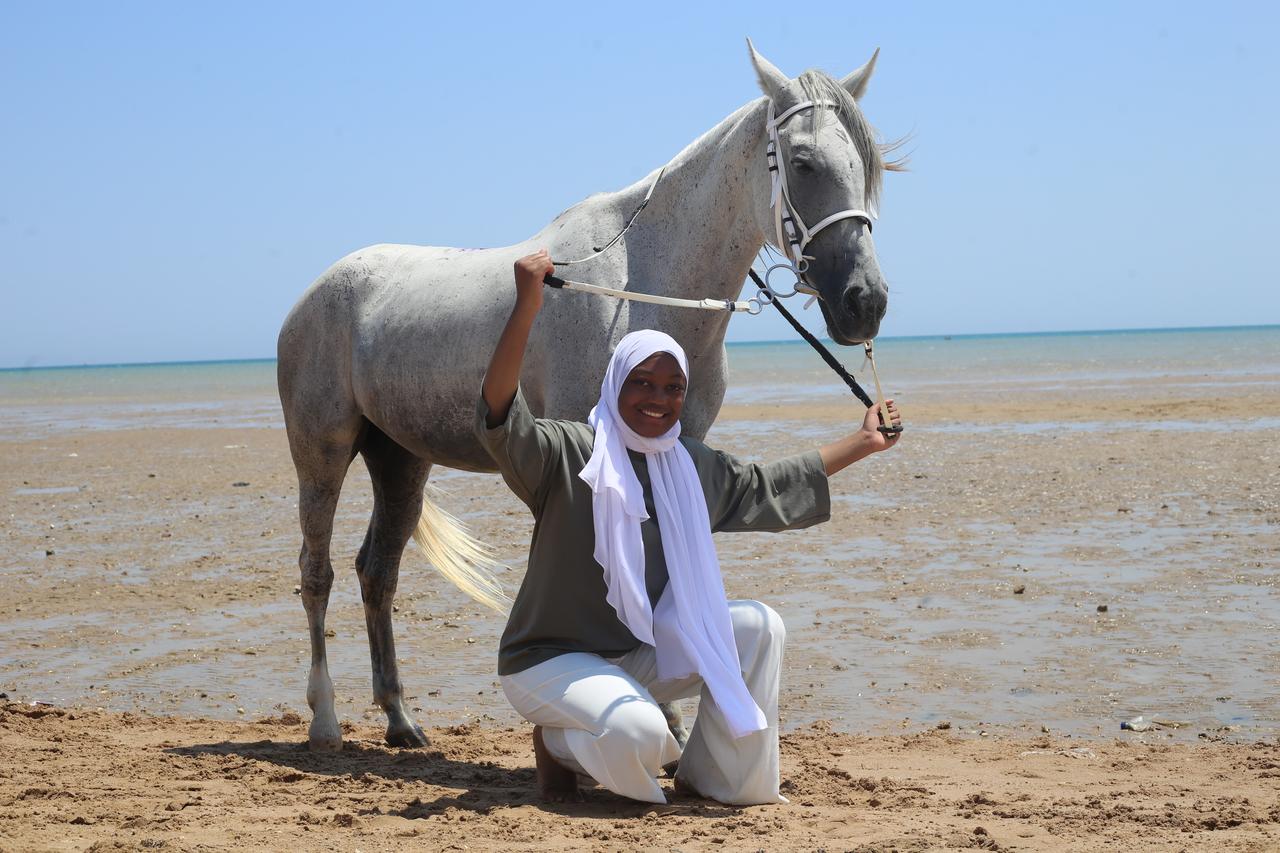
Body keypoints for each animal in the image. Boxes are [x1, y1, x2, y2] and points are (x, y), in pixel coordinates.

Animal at [277, 40, 901, 751]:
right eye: (802, 161)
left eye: (866, 168)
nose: (865, 302)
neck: (638, 286)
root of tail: (313, 296)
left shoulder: (678, 448)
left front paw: (673, 722)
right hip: (322, 455)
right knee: (317, 572)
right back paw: (325, 720)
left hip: (401, 460)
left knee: (377, 572)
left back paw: (401, 719)